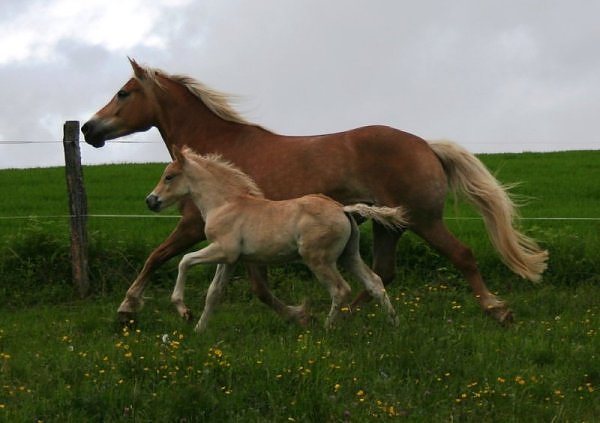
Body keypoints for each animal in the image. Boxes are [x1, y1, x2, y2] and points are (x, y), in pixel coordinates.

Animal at [146, 147, 408, 332]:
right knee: (375, 283)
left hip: (318, 259)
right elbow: (214, 293)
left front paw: (184, 310)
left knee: (340, 289)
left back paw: (326, 328)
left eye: (169, 177)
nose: (151, 201)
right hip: (349, 256)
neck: (224, 203)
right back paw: (394, 324)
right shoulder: (230, 259)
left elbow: (185, 261)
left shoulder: (222, 249)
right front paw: (199, 329)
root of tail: (343, 209)